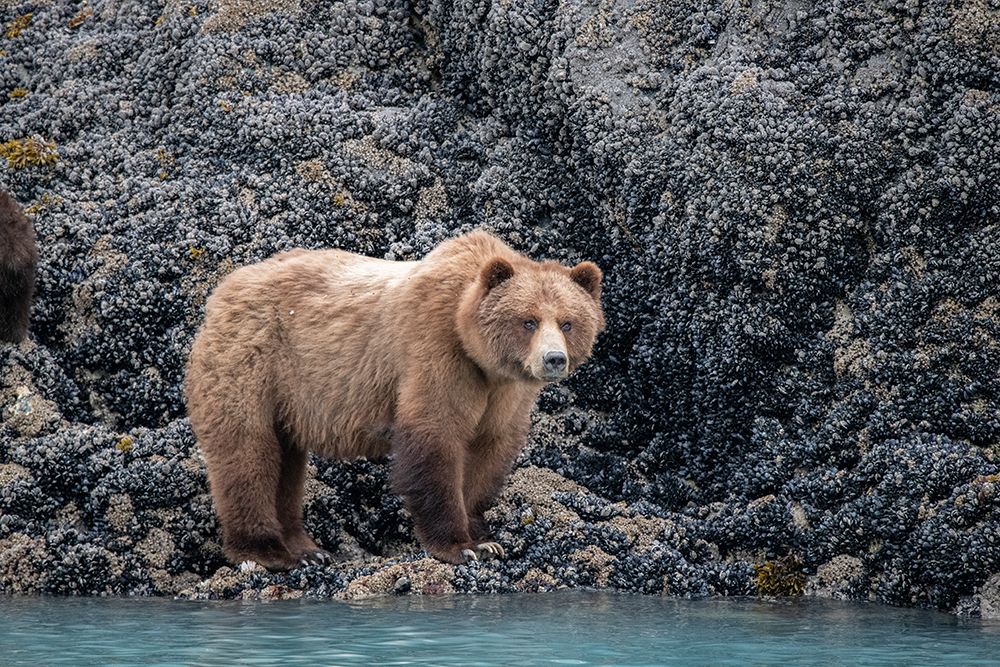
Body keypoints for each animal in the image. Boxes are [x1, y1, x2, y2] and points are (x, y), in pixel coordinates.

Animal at [185, 230, 604, 569]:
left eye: (568, 322)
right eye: (528, 320)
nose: (554, 359)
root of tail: (222, 290)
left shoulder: (505, 393)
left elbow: (489, 451)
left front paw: (485, 539)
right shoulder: (436, 350)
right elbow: (435, 436)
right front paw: (460, 546)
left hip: (287, 398)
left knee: (287, 461)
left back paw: (306, 549)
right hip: (252, 361)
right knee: (248, 452)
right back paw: (267, 551)